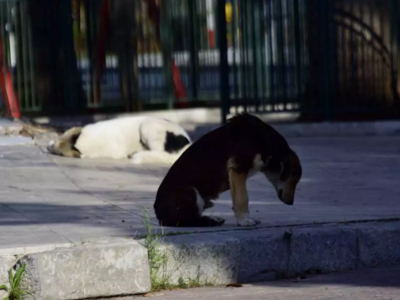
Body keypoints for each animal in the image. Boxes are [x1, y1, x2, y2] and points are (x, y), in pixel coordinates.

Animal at [155, 113, 302, 226]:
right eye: (294, 178)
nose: (291, 203)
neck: (262, 140)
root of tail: (158, 213)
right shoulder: (238, 169)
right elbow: (242, 198)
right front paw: (244, 221)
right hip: (191, 193)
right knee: (186, 221)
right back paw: (211, 221)